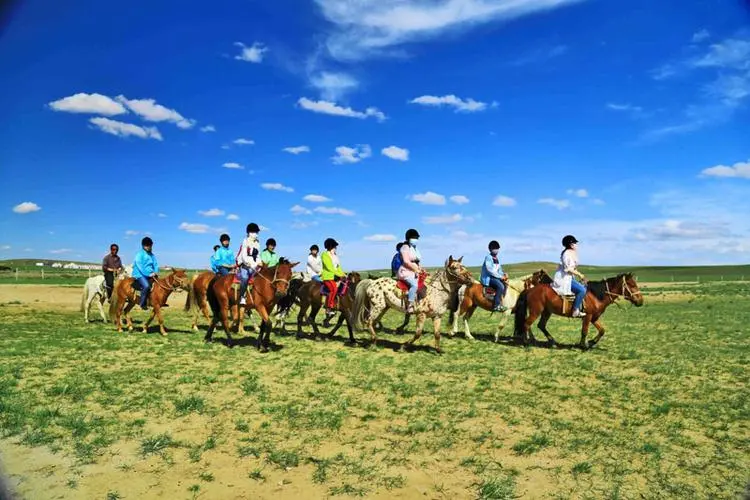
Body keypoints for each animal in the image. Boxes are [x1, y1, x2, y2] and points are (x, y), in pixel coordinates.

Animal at [516, 272, 648, 350]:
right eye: (631, 285)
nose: (640, 301)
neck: (596, 295)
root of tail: (530, 290)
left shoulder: (594, 317)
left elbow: (602, 330)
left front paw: (591, 342)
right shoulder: (588, 316)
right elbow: (584, 331)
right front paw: (583, 345)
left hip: (546, 311)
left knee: (541, 325)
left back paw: (552, 342)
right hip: (536, 311)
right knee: (526, 324)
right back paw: (526, 344)